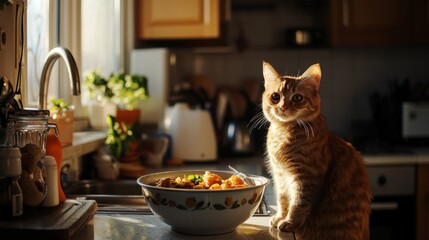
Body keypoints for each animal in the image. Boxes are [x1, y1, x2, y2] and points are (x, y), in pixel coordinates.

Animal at [260, 62, 372, 240]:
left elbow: (298, 204)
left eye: (297, 98)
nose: (283, 107)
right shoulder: (280, 176)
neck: (283, 132)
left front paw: (289, 222)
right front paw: (280, 216)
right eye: (276, 96)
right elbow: (283, 198)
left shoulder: (307, 178)